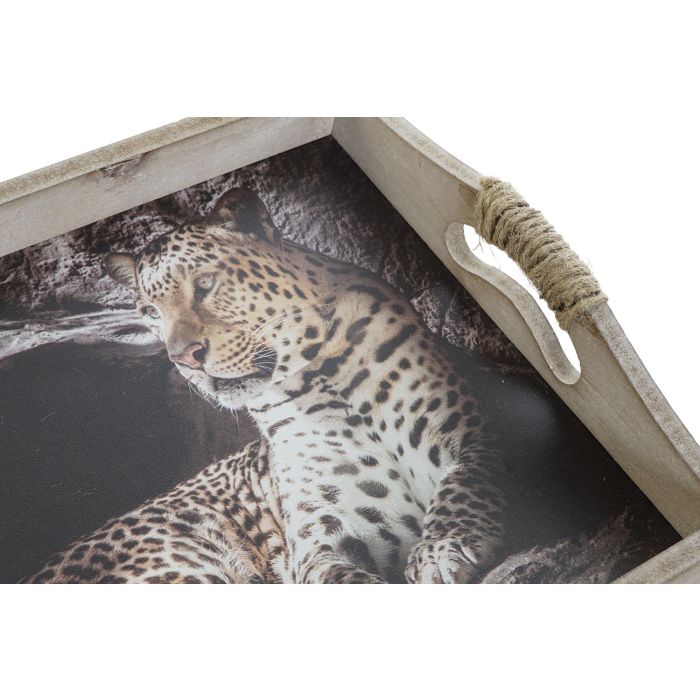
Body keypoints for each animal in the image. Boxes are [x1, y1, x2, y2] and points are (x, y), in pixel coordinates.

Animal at [102, 187, 505, 583]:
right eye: (151, 312)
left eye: (204, 284)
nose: (183, 358)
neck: (321, 379)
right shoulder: (323, 543)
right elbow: (343, 578)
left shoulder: (478, 434)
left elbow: (465, 483)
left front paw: (440, 549)